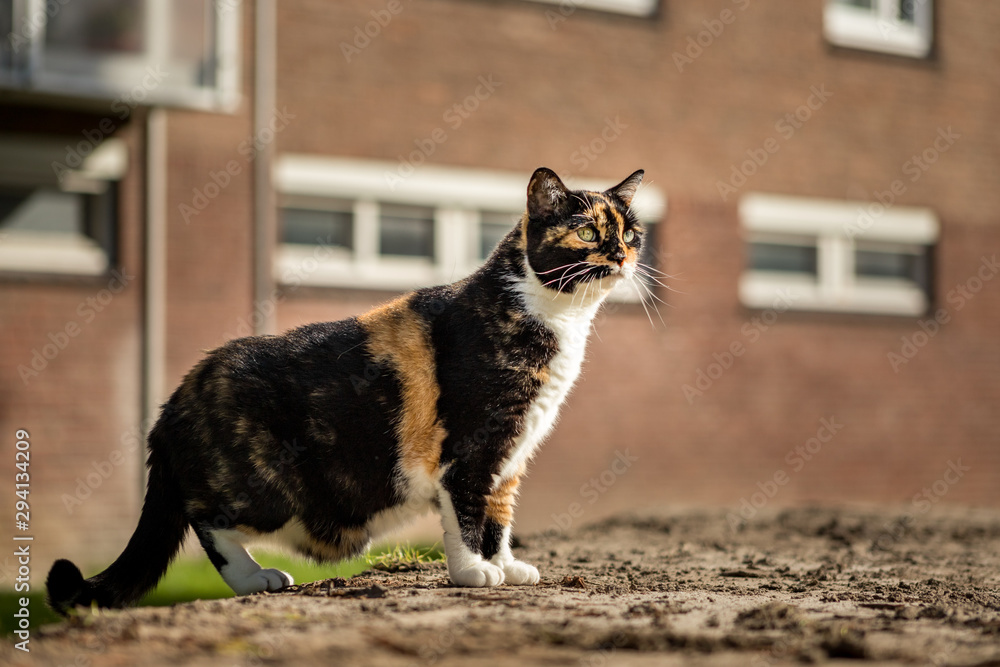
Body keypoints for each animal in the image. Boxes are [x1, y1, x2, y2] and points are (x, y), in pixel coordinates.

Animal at [48, 164, 648, 612]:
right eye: (589, 232)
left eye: (631, 232)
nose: (622, 255)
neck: (553, 317)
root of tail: (173, 403)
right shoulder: (472, 449)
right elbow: (466, 514)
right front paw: (473, 572)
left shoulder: (510, 456)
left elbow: (497, 519)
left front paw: (504, 565)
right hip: (265, 489)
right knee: (208, 521)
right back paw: (254, 578)